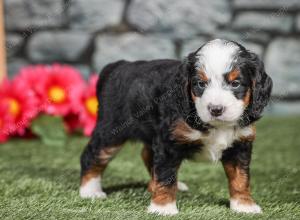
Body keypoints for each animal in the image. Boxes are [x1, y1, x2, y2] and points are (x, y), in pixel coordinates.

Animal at [78, 38, 274, 216]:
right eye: (200, 83)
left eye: (235, 83)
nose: (216, 109)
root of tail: (117, 66)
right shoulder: (169, 143)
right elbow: (166, 174)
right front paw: (163, 207)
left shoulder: (240, 144)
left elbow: (240, 178)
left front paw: (244, 205)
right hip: (111, 130)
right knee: (93, 155)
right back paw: (90, 191)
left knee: (147, 154)